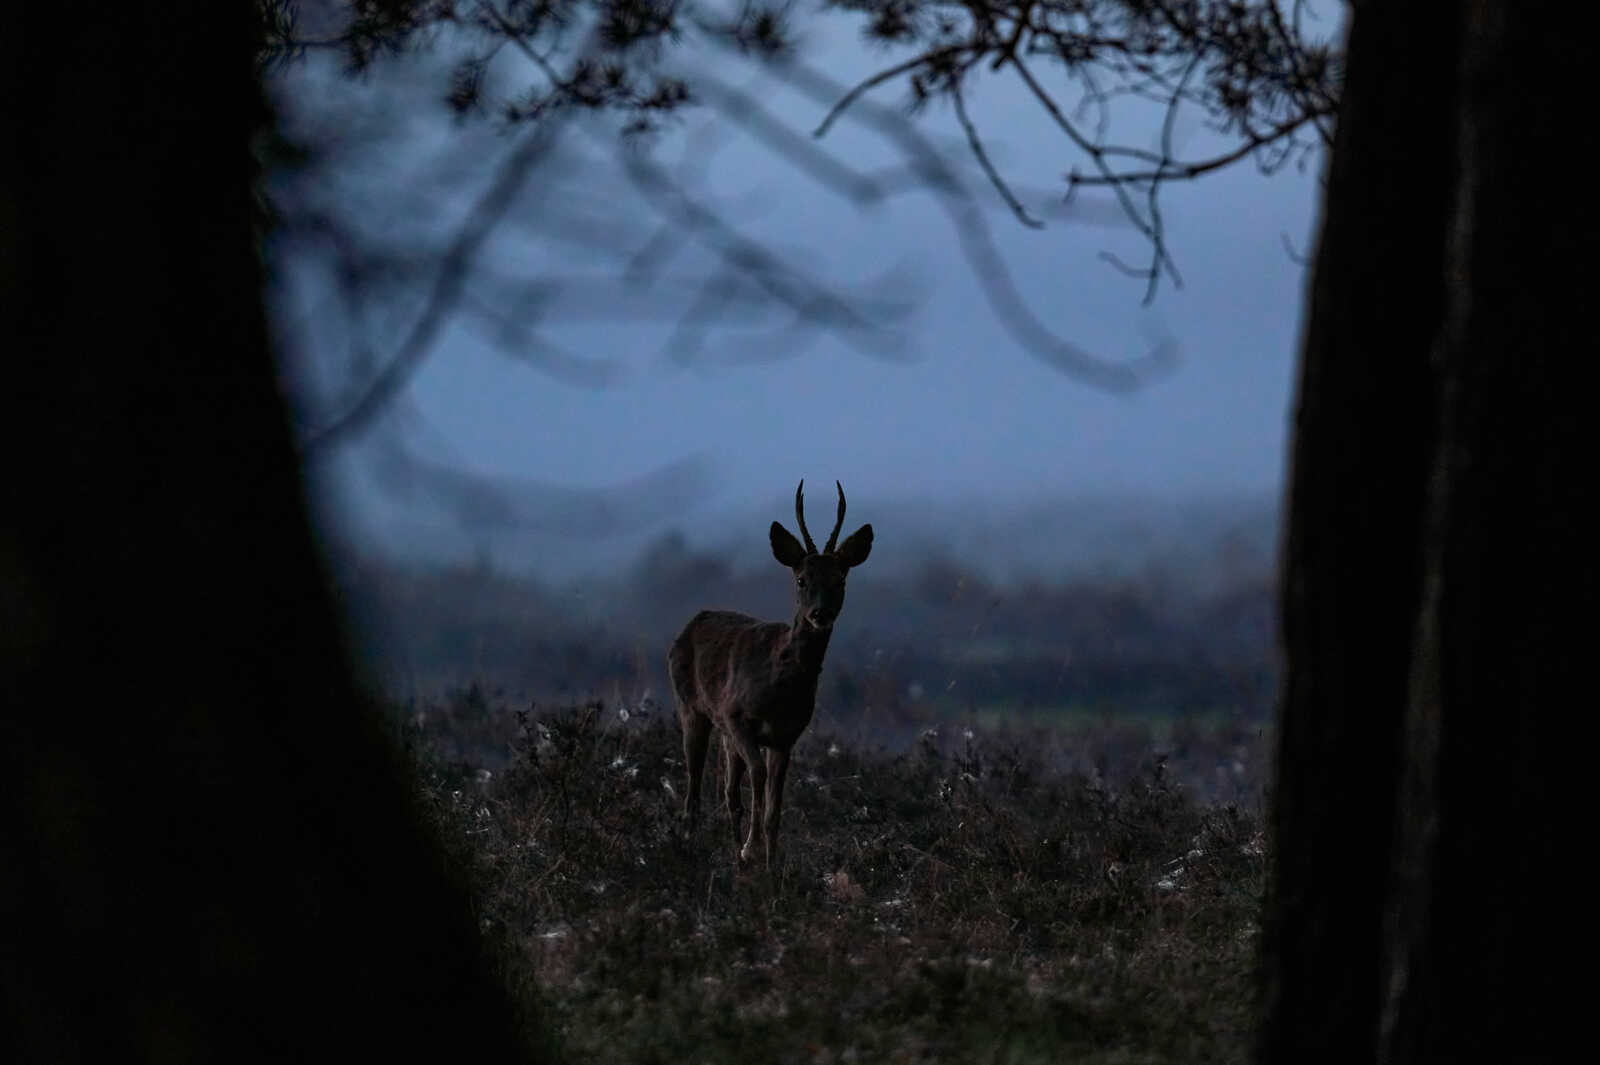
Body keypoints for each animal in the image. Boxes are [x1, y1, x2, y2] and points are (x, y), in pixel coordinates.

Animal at [668, 480, 873, 867]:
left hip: (723, 731)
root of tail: (690, 623)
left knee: (729, 792)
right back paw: (690, 841)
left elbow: (773, 803)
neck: (780, 687)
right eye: (801, 579)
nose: (820, 614)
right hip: (690, 705)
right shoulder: (737, 716)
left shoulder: (786, 735)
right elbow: (759, 778)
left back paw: (732, 850)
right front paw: (753, 850)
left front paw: (769, 860)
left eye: (840, 579)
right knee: (694, 782)